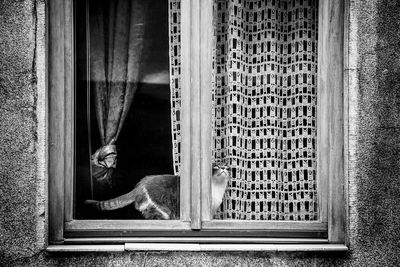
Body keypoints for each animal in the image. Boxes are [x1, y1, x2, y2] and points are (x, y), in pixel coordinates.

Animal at [84, 164, 230, 221]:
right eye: (216, 166)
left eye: (227, 167)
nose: (223, 168)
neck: (217, 188)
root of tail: (141, 183)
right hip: (159, 204)